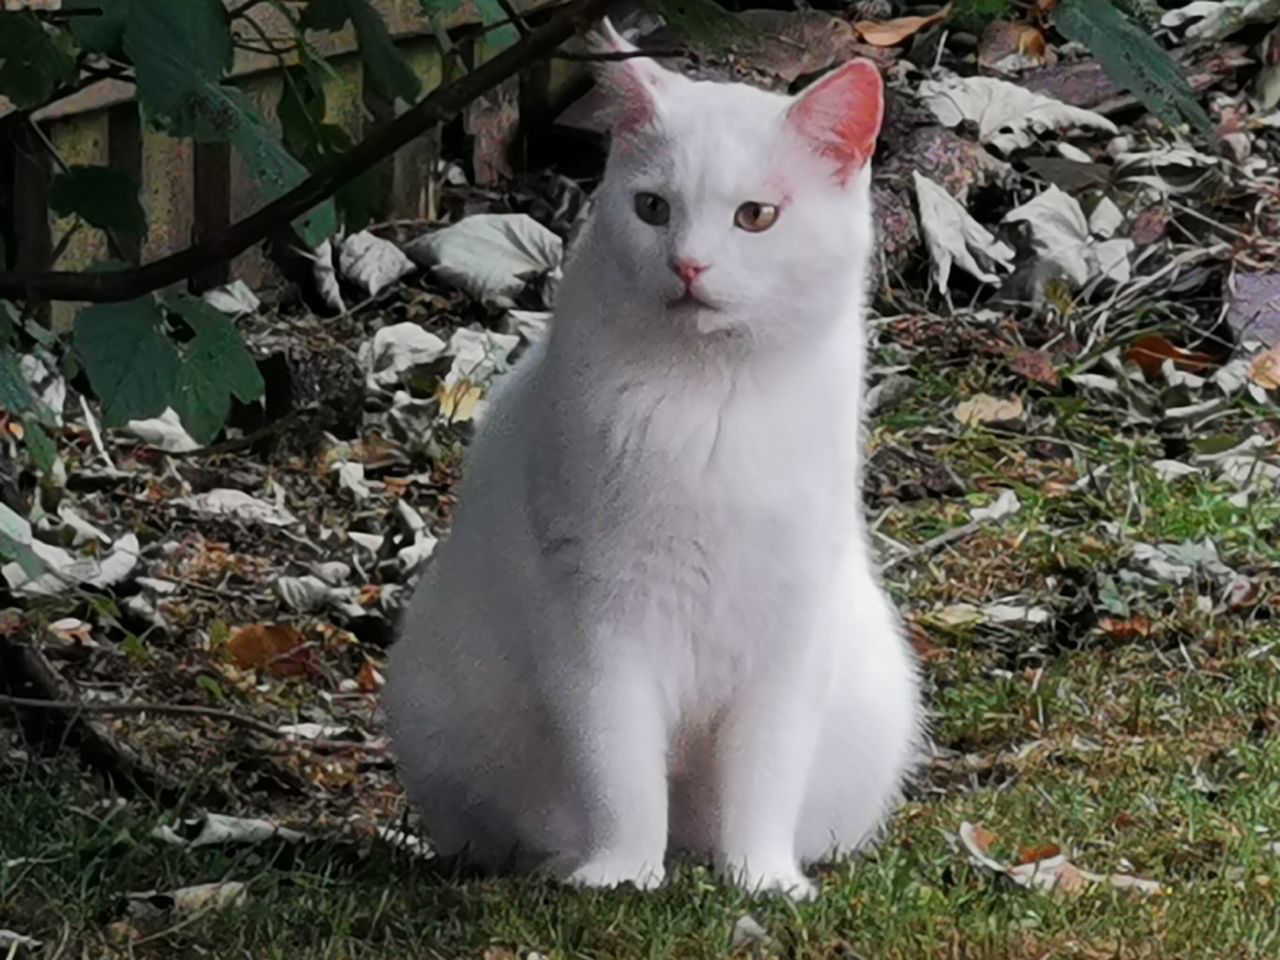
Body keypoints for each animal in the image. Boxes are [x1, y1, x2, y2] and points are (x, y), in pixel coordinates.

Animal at [384, 18, 926, 901]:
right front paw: (623, 874)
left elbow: (765, 774)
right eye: (651, 208)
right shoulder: (598, 626)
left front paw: (762, 880)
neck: (708, 411)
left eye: (756, 216)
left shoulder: (788, 631)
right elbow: (621, 769)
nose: (688, 264)